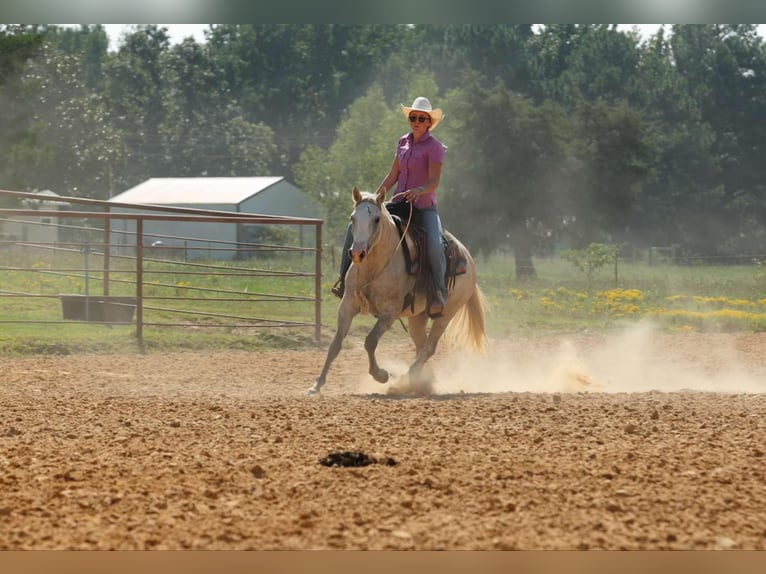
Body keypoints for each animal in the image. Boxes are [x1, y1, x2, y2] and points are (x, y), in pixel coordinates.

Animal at [308, 185, 487, 396]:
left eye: (376, 219)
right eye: (352, 218)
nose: (357, 253)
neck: (374, 266)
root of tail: (468, 259)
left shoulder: (390, 311)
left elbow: (370, 341)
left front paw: (381, 375)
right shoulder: (347, 304)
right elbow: (335, 344)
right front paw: (317, 385)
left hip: (447, 313)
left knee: (430, 347)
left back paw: (404, 379)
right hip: (417, 317)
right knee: (421, 345)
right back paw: (422, 381)